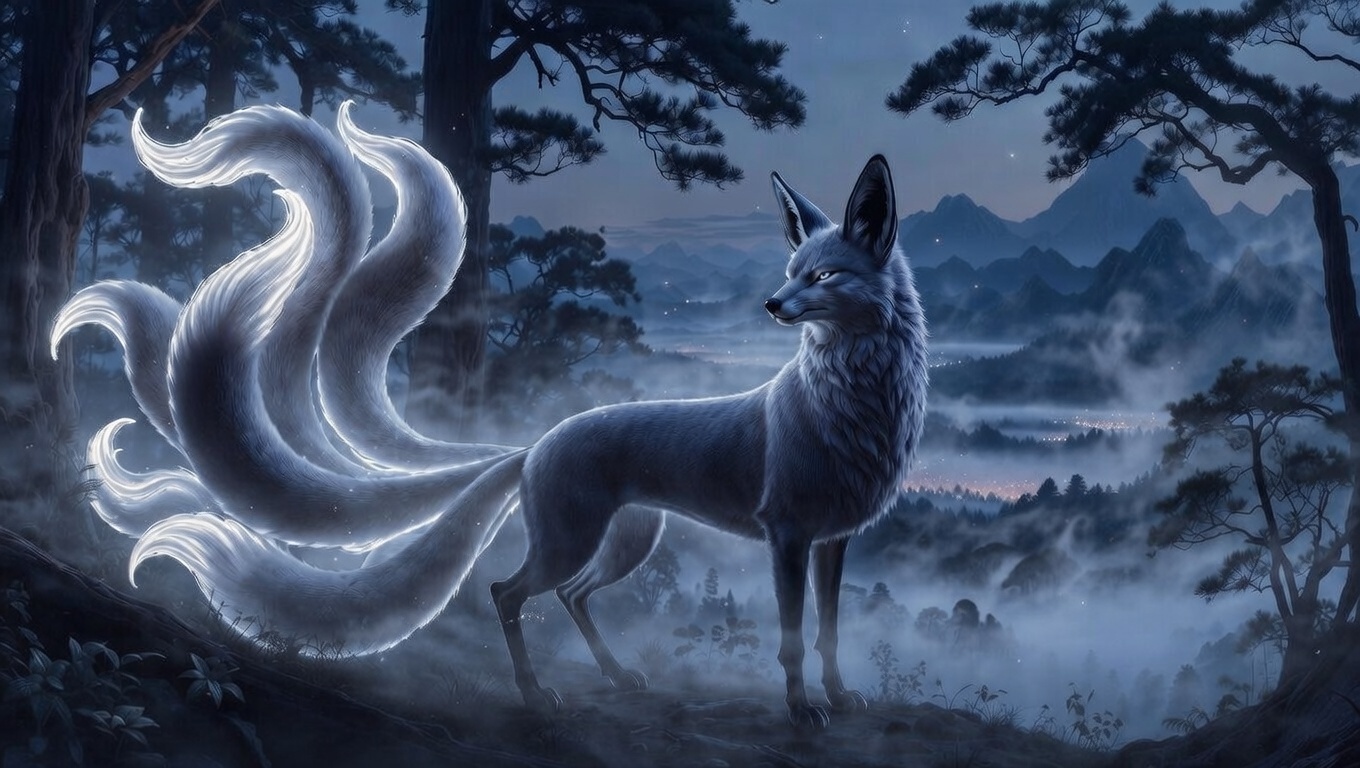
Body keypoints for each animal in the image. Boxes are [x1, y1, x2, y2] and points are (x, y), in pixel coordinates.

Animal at [54, 105, 927, 728]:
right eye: (792, 270)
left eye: (822, 275)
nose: (773, 305)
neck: (855, 405)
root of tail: (532, 443)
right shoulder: (786, 536)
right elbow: (791, 637)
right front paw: (802, 709)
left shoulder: (832, 540)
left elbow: (829, 628)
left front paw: (839, 698)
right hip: (581, 539)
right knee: (510, 593)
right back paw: (538, 699)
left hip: (626, 542)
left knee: (570, 596)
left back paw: (615, 676)